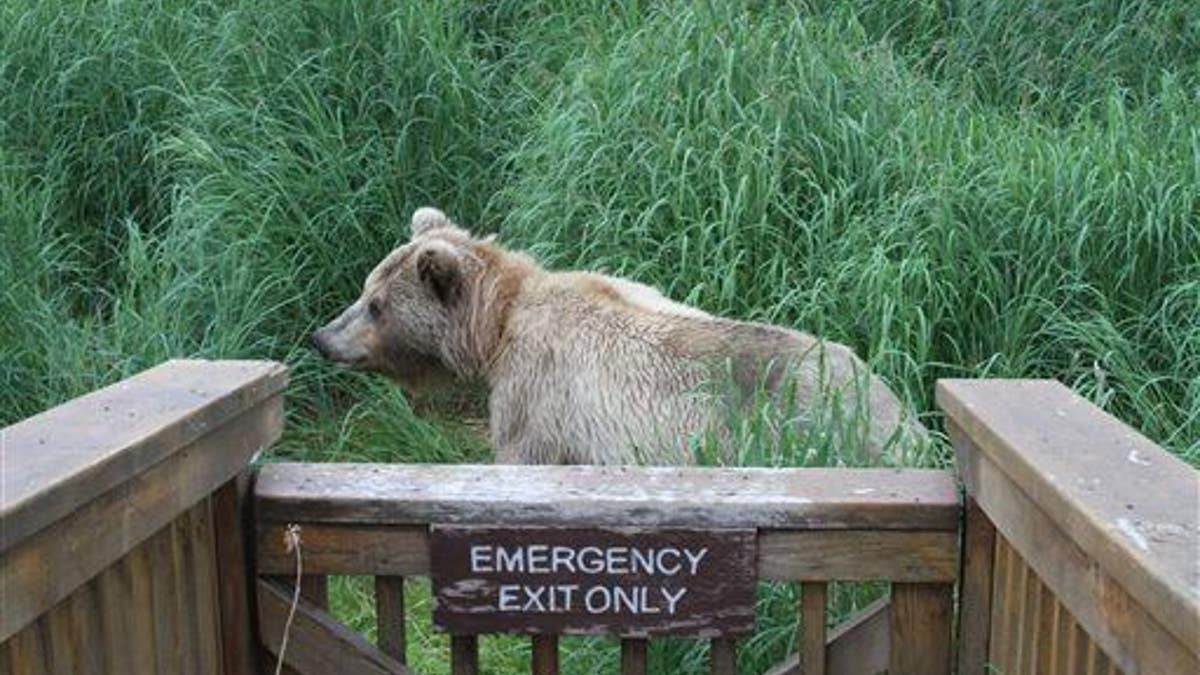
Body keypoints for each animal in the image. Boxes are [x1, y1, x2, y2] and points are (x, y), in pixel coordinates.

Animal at [311, 207, 927, 465]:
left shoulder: (538, 396)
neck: (497, 326)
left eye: (376, 305)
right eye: (365, 289)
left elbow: (522, 458)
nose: (321, 336)